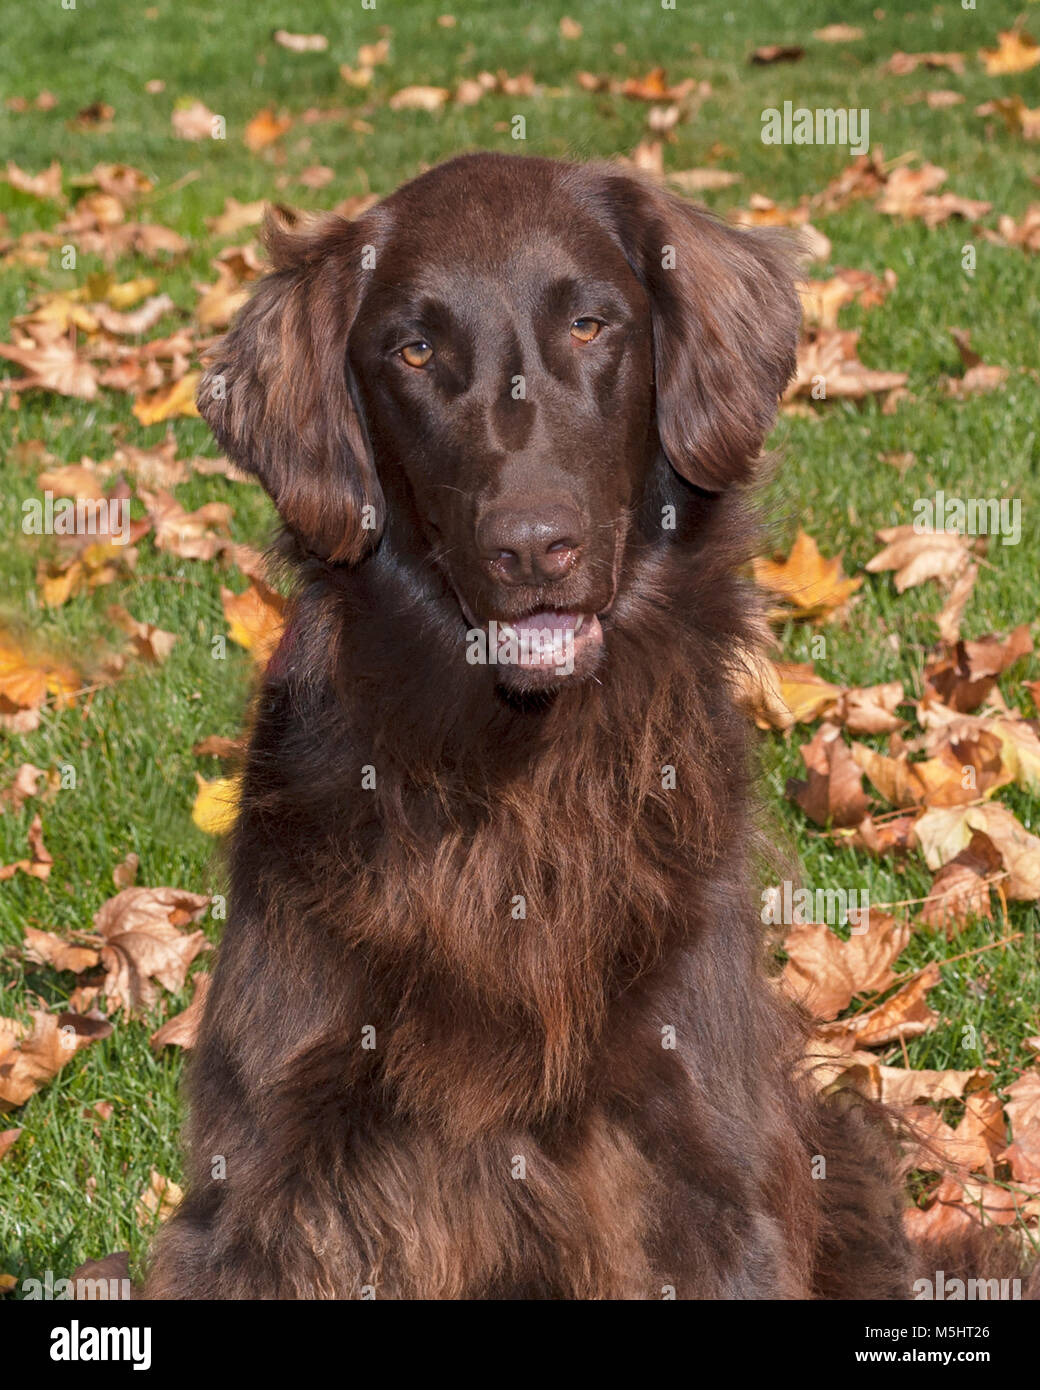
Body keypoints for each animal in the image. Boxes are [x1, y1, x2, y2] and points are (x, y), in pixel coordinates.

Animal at [143, 154, 1006, 1301]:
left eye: (592, 324)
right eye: (414, 350)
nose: (530, 545)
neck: (520, 782)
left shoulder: (702, 1164)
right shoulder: (268, 1186)